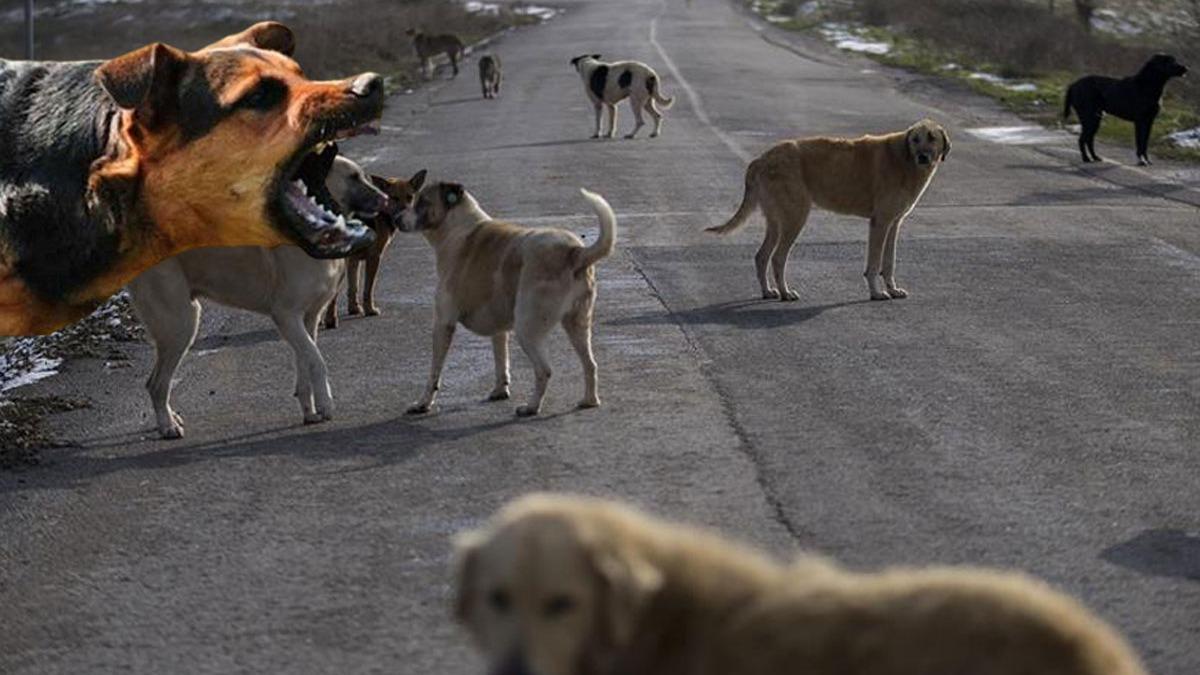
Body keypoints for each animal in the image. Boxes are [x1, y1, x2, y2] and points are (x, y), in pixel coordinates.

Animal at [324, 168, 427, 326]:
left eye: (410, 197)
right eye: (394, 198)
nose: (404, 216)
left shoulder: (353, 260)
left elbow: (353, 287)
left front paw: (354, 308)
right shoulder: (374, 257)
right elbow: (368, 288)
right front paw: (369, 310)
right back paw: (330, 320)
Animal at [400, 183, 619, 415]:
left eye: (422, 202)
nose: (395, 218)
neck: (456, 227)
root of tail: (575, 252)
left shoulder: (443, 324)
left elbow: (434, 372)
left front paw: (423, 403)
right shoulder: (498, 327)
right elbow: (501, 359)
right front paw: (500, 390)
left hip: (527, 328)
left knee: (544, 370)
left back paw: (531, 407)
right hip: (577, 325)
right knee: (590, 364)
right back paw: (590, 400)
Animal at [705, 119, 950, 300]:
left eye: (932, 138)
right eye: (915, 139)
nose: (922, 157)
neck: (904, 159)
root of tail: (761, 159)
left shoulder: (893, 223)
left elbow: (889, 262)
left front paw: (892, 289)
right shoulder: (880, 223)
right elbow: (874, 263)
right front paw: (876, 293)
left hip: (776, 221)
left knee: (761, 256)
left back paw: (768, 291)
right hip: (795, 217)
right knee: (777, 258)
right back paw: (785, 292)